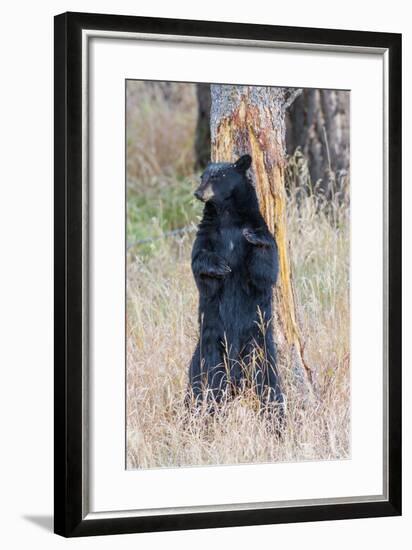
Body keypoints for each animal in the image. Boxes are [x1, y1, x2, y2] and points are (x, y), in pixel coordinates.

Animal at [189, 153, 284, 412]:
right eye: (202, 176)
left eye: (218, 176)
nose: (198, 193)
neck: (227, 216)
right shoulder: (207, 234)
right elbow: (200, 265)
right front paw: (220, 266)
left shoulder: (257, 226)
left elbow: (265, 271)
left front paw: (255, 239)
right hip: (209, 346)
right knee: (203, 381)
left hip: (260, 346)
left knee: (269, 384)